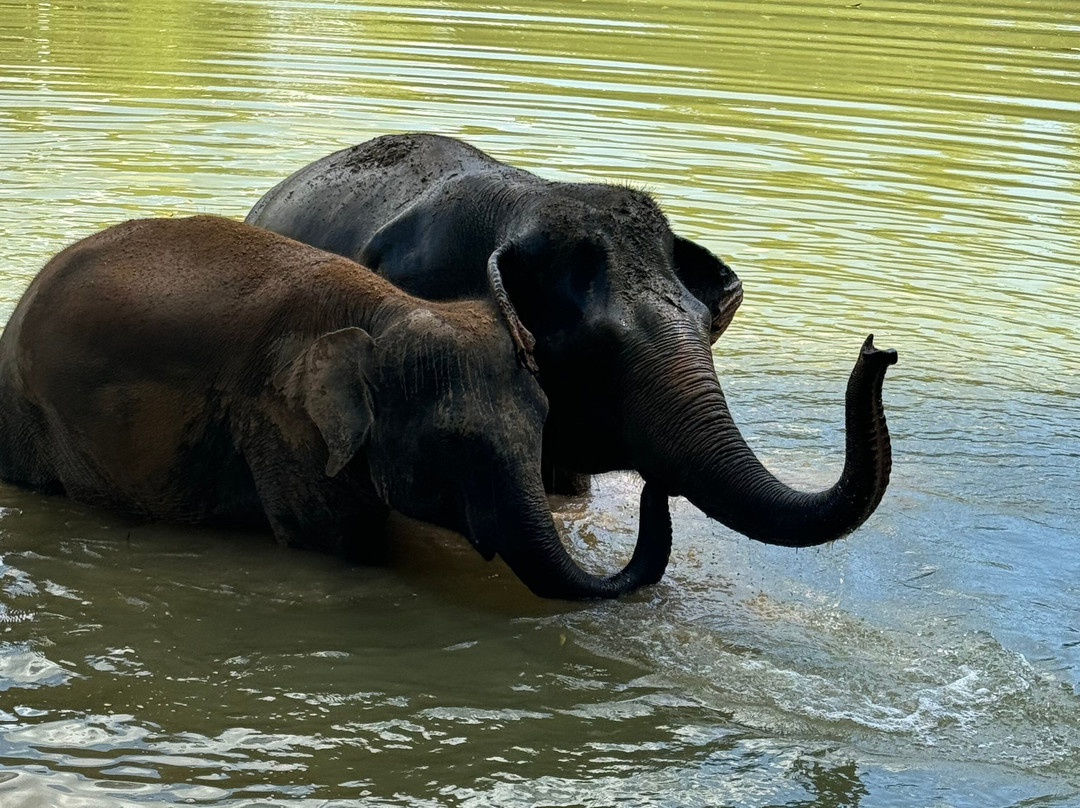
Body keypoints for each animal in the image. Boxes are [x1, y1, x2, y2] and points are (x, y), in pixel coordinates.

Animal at [0, 215, 672, 600]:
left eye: (543, 429)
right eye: (453, 445)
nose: (654, 482)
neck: (383, 311)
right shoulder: (282, 427)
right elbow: (341, 544)